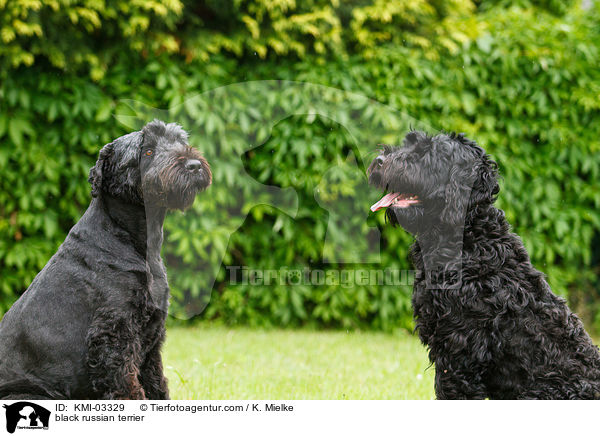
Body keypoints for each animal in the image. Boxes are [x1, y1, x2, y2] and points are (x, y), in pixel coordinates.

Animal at [0, 119, 211, 398]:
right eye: (147, 151)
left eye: (179, 141)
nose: (194, 165)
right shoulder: (114, 333)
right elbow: (127, 386)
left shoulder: (151, 340)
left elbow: (156, 382)